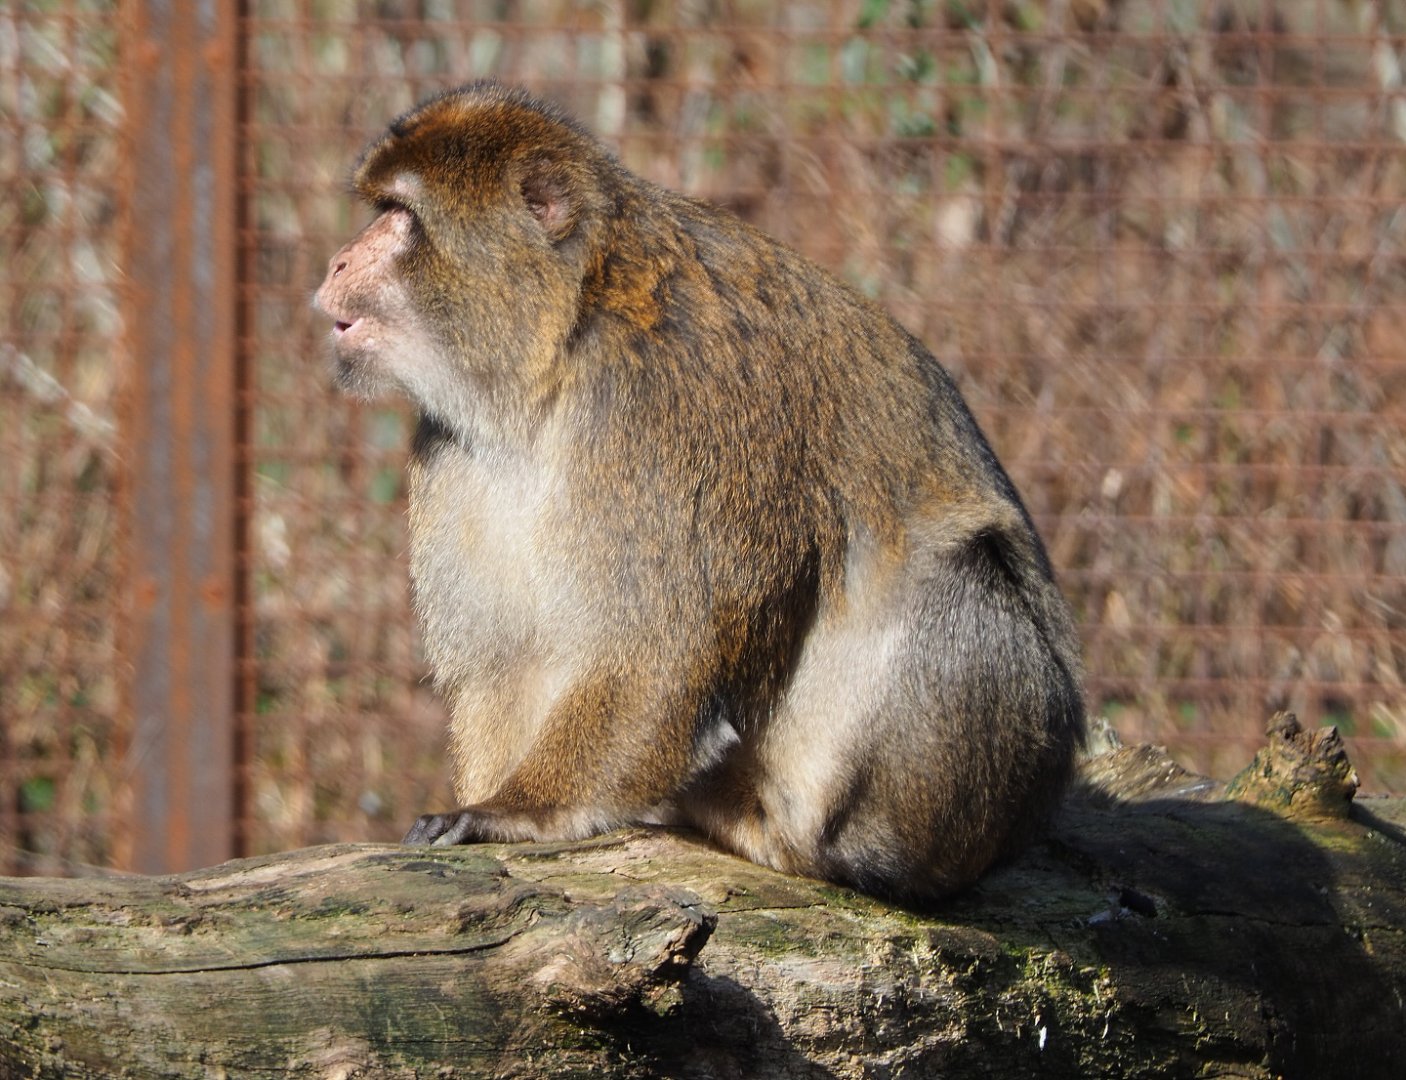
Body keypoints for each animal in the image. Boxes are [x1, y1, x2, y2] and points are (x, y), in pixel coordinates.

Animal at [313, 82, 1084, 902]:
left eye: (400, 216)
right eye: (380, 209)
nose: (336, 260)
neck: (559, 347)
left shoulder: (670, 405)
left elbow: (663, 651)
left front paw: (518, 811)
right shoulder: (453, 448)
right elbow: (503, 657)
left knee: (961, 579)